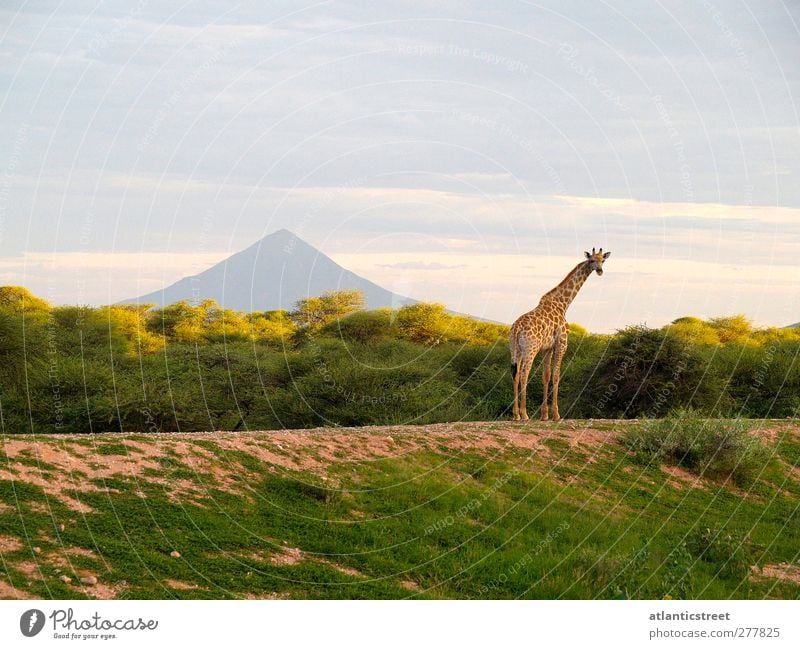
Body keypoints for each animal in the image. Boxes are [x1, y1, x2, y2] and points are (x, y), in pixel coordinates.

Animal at [510, 247, 608, 420]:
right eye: (591, 260)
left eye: (603, 260)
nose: (600, 271)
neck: (563, 304)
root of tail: (517, 329)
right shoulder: (562, 343)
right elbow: (556, 375)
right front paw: (556, 414)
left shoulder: (547, 348)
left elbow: (546, 376)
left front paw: (544, 415)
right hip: (530, 349)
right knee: (524, 374)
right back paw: (524, 414)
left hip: (515, 350)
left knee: (515, 375)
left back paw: (516, 415)